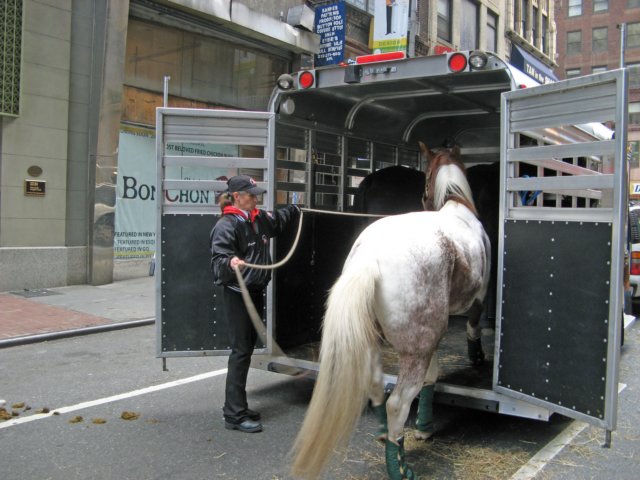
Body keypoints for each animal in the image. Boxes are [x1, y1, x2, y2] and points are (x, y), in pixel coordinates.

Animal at [290, 146, 490, 480]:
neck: (457, 206)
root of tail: (371, 257)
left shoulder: (433, 335)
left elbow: (431, 376)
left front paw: (425, 426)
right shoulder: (478, 299)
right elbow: (473, 328)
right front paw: (477, 357)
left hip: (379, 342)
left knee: (376, 388)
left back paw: (387, 438)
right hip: (414, 350)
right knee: (397, 403)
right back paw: (400, 466)